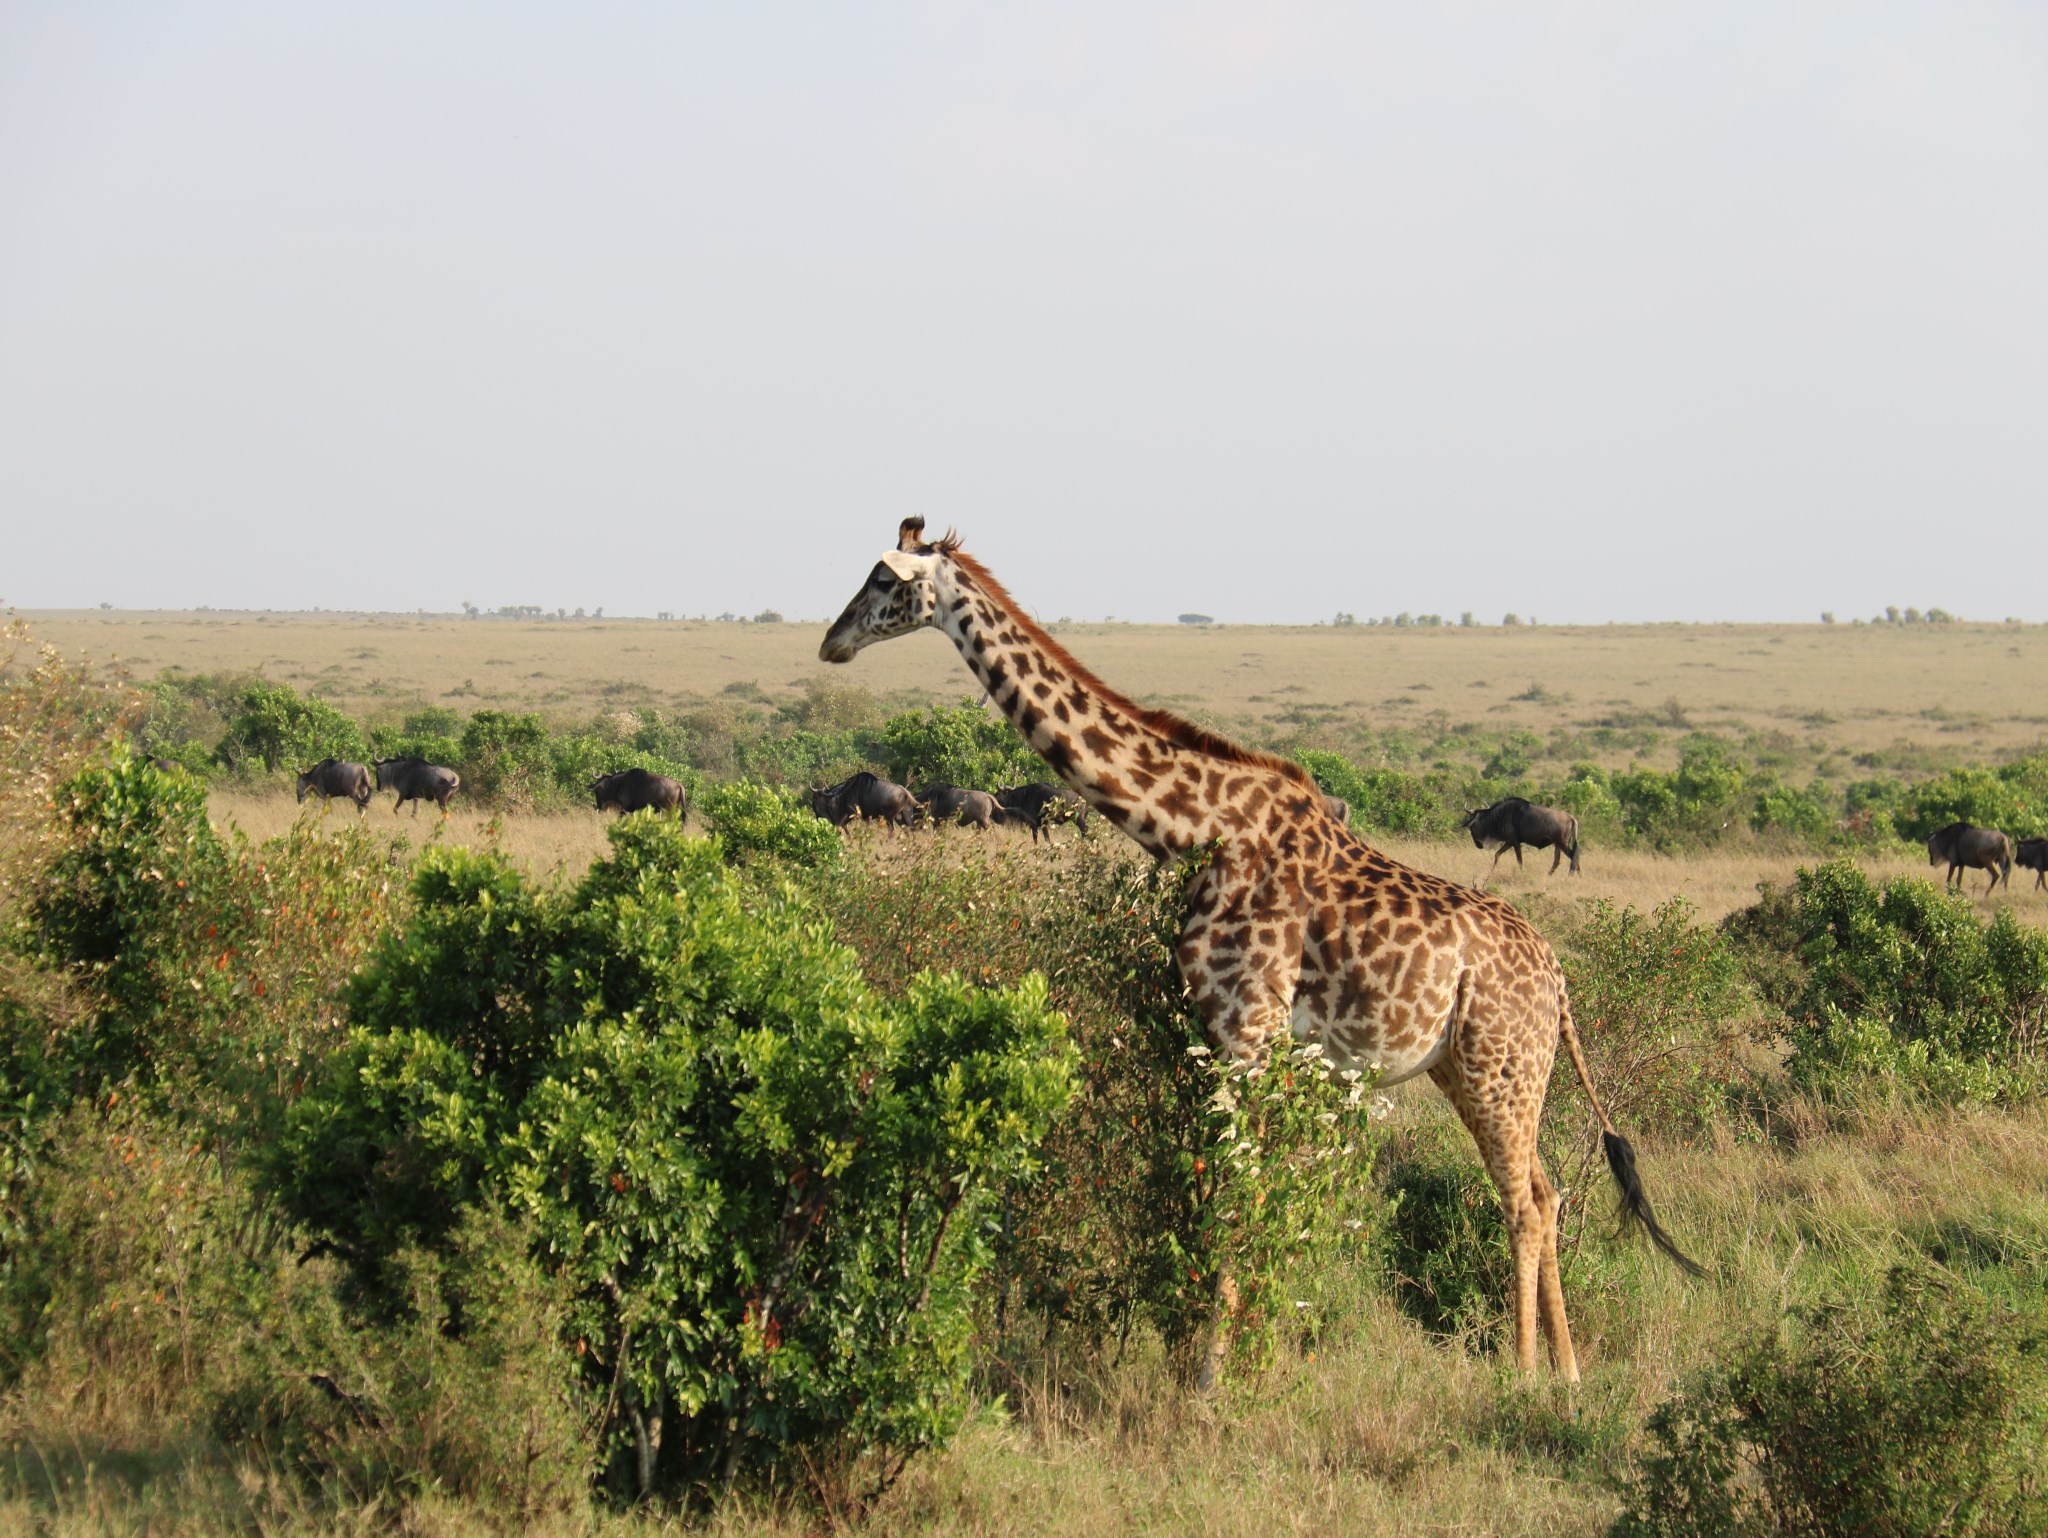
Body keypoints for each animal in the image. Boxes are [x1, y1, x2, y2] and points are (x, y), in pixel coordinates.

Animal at [815, 520, 1695, 1384]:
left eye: (885, 581)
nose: (831, 641)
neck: (1196, 827)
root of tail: (1559, 981)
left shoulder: (1245, 1029)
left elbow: (1238, 1196)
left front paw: (1210, 1378)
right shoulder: (1233, 1035)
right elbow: (1240, 1192)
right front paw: (1234, 1356)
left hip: (1498, 1066)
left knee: (1525, 1199)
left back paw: (1524, 1374)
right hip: (1471, 1067)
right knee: (1546, 1191)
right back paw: (1566, 1372)